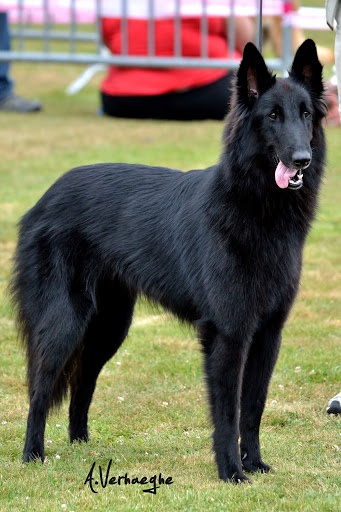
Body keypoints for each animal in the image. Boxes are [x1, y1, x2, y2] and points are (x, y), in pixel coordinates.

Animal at [10, 41, 324, 484]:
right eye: (272, 116)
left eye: (306, 114)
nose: (301, 160)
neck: (255, 206)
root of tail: (45, 197)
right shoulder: (228, 335)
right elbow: (227, 412)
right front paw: (231, 471)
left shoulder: (268, 333)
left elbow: (254, 407)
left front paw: (255, 464)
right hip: (64, 321)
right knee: (41, 386)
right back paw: (33, 454)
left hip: (110, 327)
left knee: (82, 382)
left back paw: (81, 444)